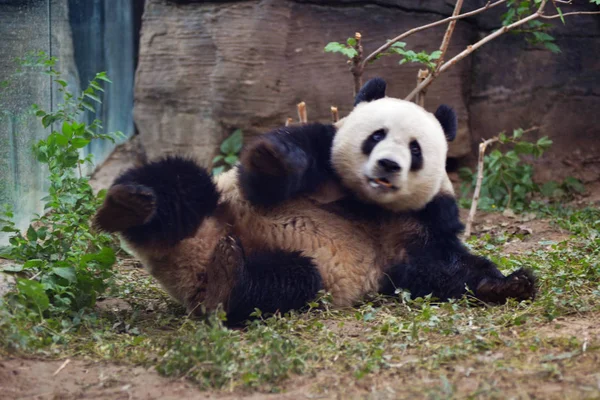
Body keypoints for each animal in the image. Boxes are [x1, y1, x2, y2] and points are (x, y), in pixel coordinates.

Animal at [95, 78, 540, 324]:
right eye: (377, 136)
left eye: (415, 149)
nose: (388, 165)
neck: (366, 204)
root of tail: (192, 252)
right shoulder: (322, 155)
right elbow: (264, 180)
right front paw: (271, 158)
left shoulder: (422, 217)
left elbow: (435, 267)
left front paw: (509, 284)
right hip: (212, 205)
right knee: (182, 180)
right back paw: (130, 206)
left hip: (279, 272)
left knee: (277, 284)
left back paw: (226, 277)